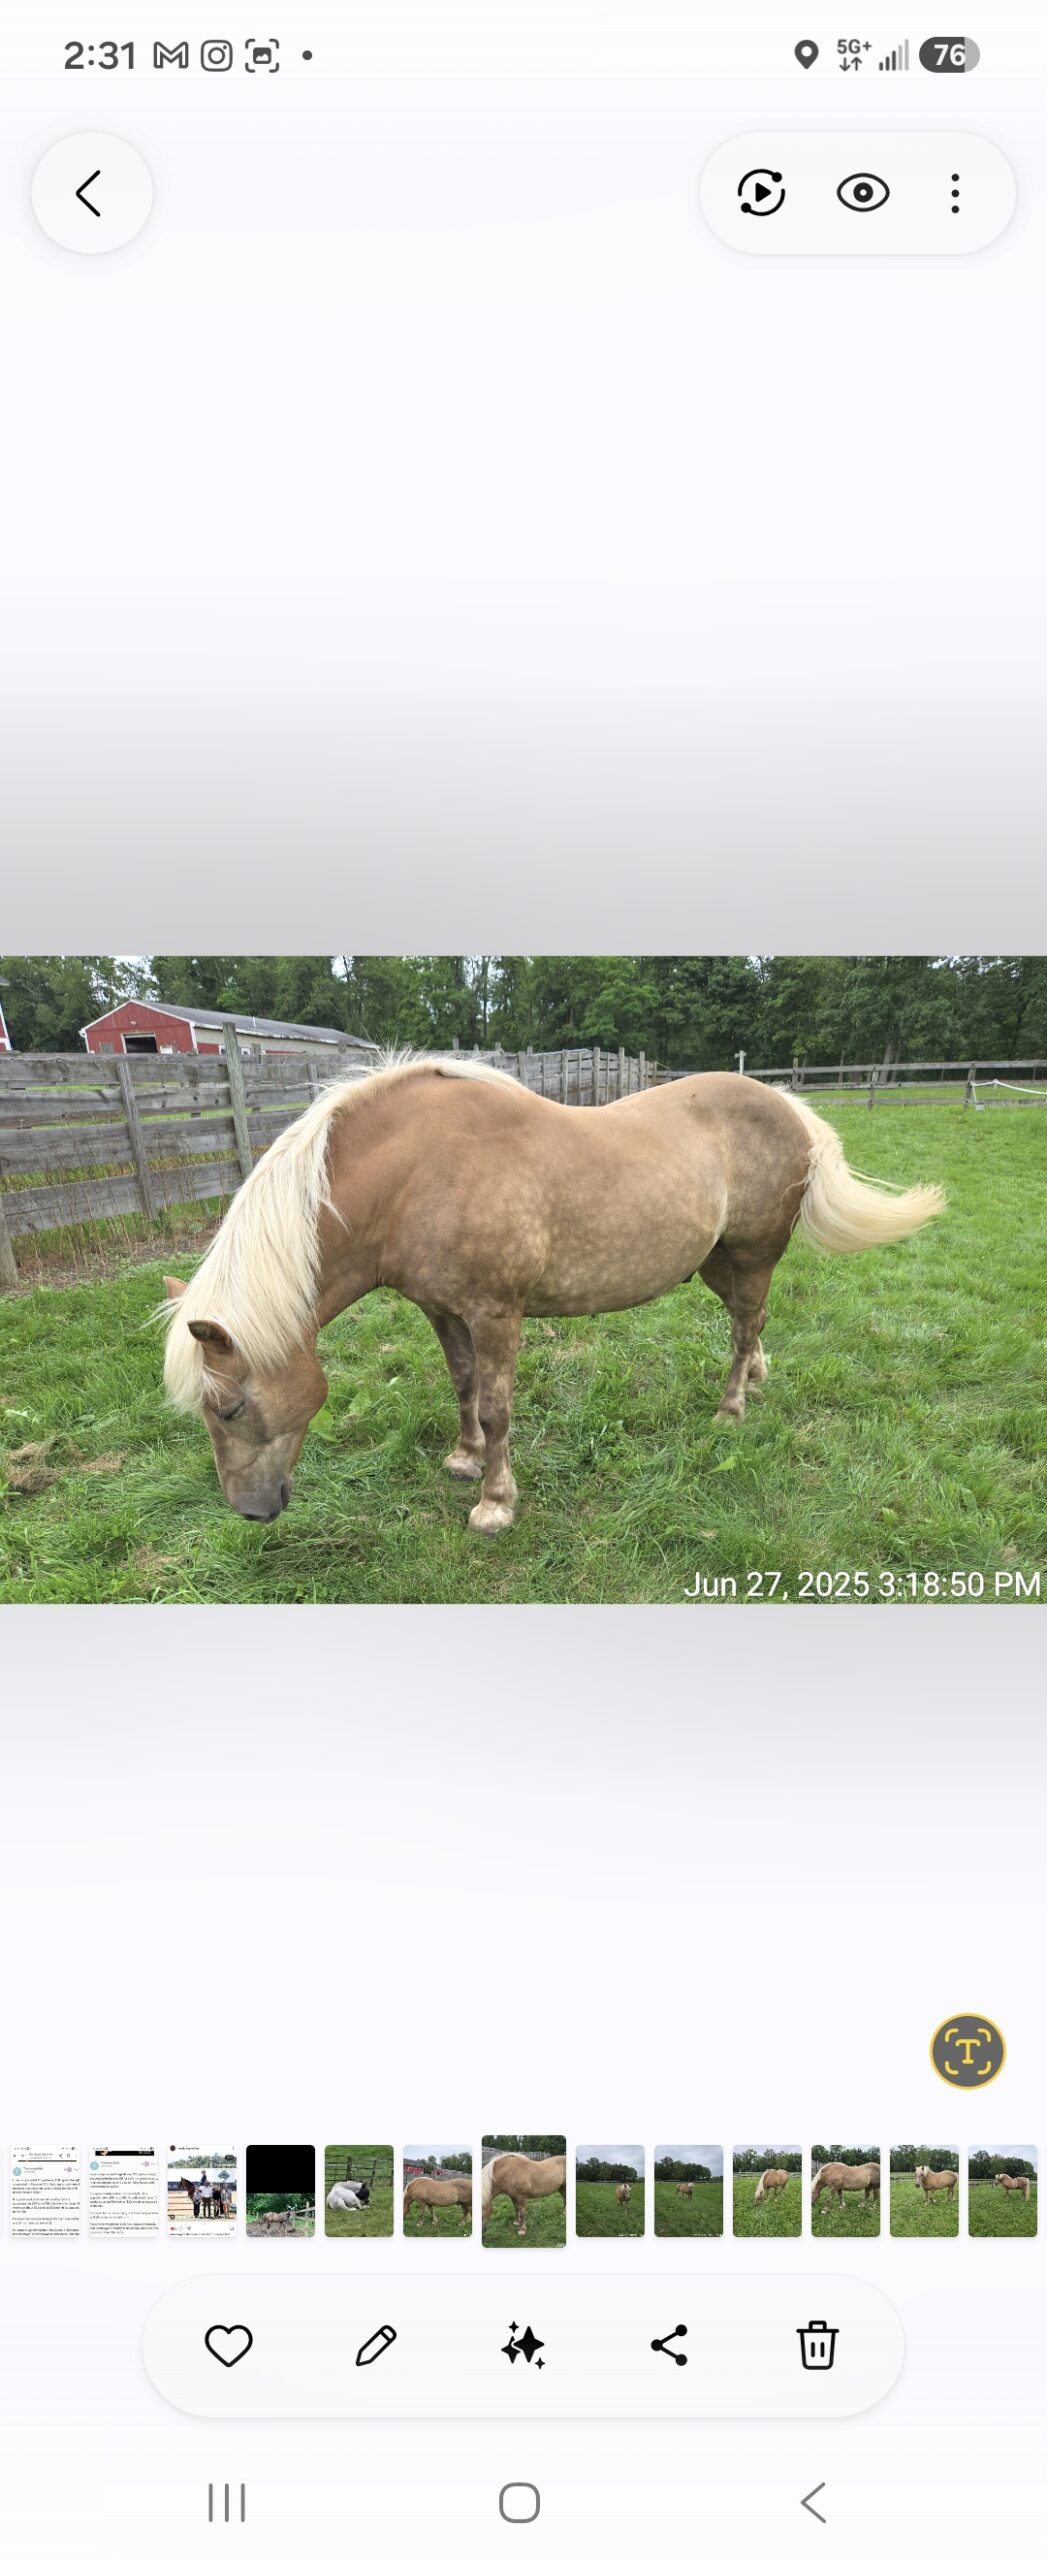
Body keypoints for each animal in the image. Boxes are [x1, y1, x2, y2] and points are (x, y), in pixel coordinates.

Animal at [161, 1056, 944, 1534]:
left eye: (229, 1408)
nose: (250, 1513)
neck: (415, 1173)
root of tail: (785, 1103)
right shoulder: (442, 1311)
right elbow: (463, 1386)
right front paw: (464, 1459)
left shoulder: (496, 1313)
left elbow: (498, 1406)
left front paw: (494, 1504)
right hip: (718, 1261)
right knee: (750, 1324)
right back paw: (755, 1377)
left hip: (752, 1255)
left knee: (743, 1324)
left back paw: (730, 1409)